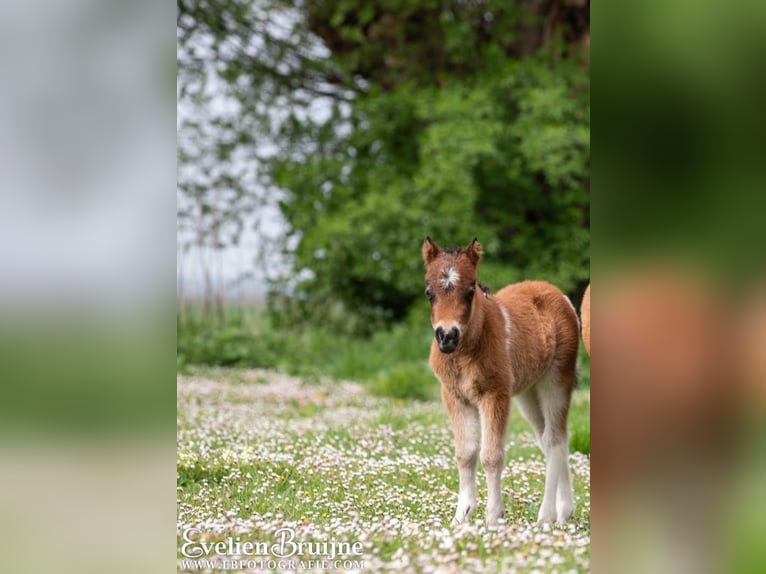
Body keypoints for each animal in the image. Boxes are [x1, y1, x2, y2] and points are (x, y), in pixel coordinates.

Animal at [422, 237, 580, 525]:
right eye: (429, 292)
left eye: (470, 291)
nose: (447, 336)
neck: (466, 351)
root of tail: (558, 293)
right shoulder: (454, 396)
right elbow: (465, 453)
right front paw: (462, 515)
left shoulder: (495, 394)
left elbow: (491, 456)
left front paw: (494, 517)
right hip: (528, 393)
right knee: (554, 438)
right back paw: (565, 511)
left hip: (555, 381)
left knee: (553, 439)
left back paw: (546, 516)